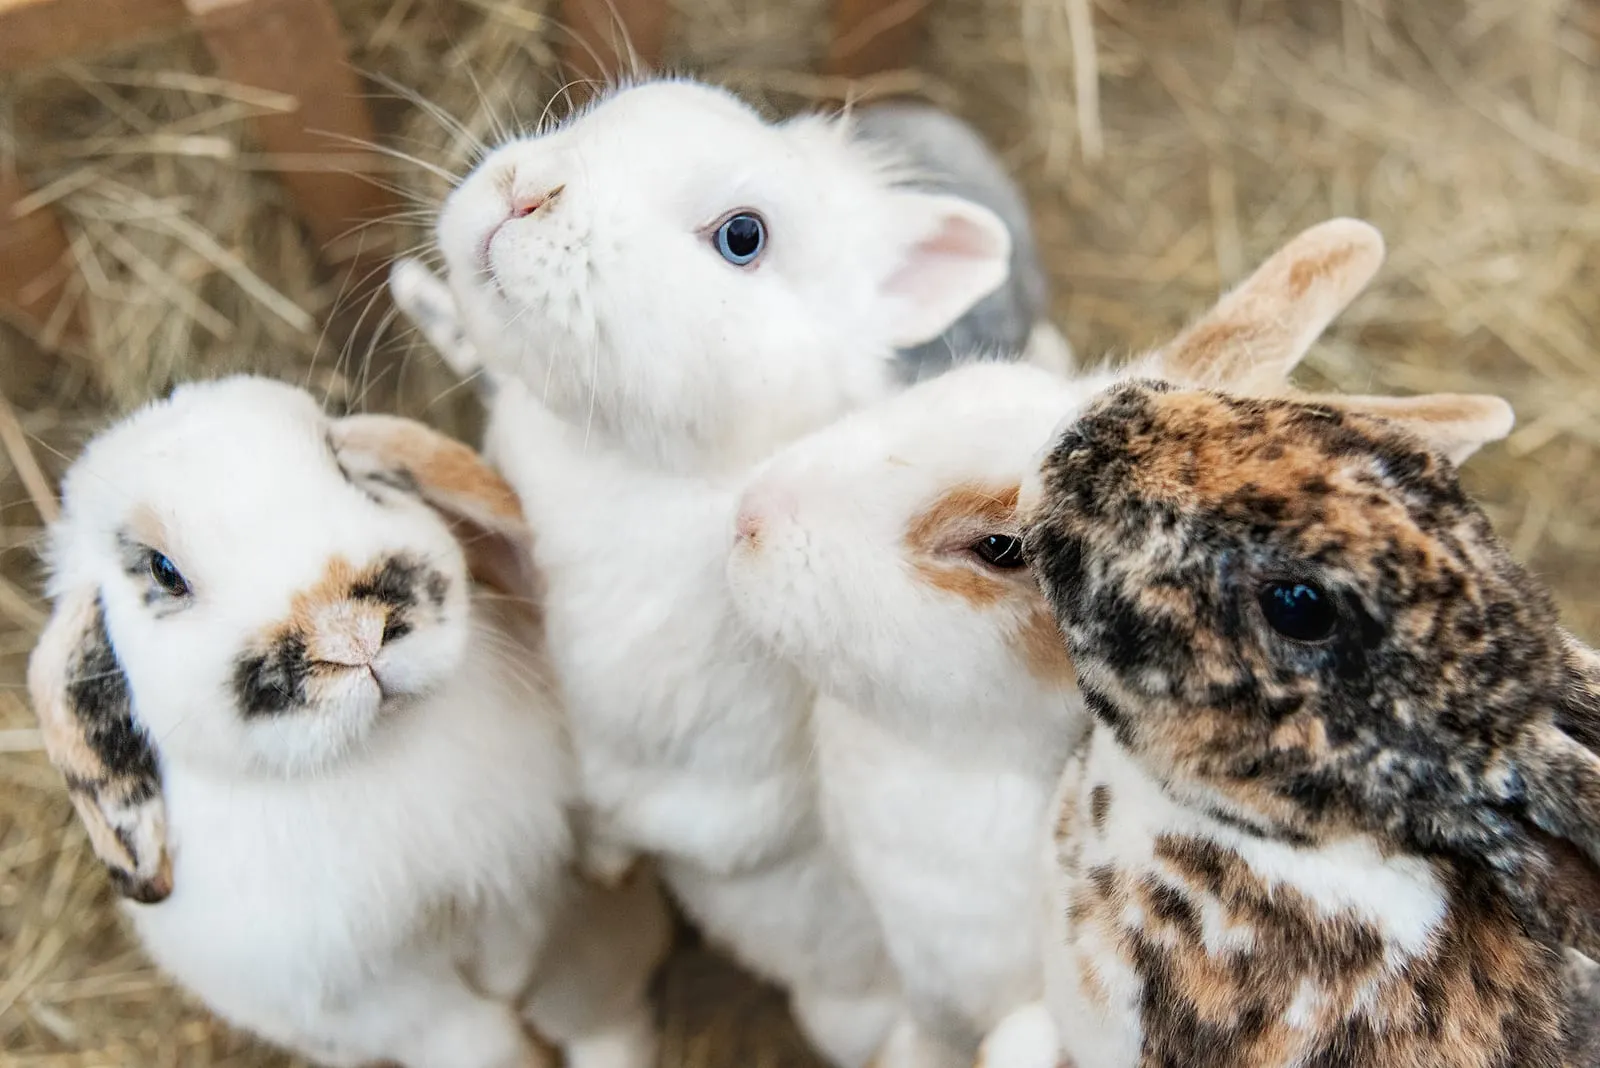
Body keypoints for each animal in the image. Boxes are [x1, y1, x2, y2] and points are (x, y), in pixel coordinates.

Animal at [27, 375, 669, 1068]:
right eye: (162, 571)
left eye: (343, 467)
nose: (353, 632)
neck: (379, 748)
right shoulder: (390, 1004)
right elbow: (479, 1038)